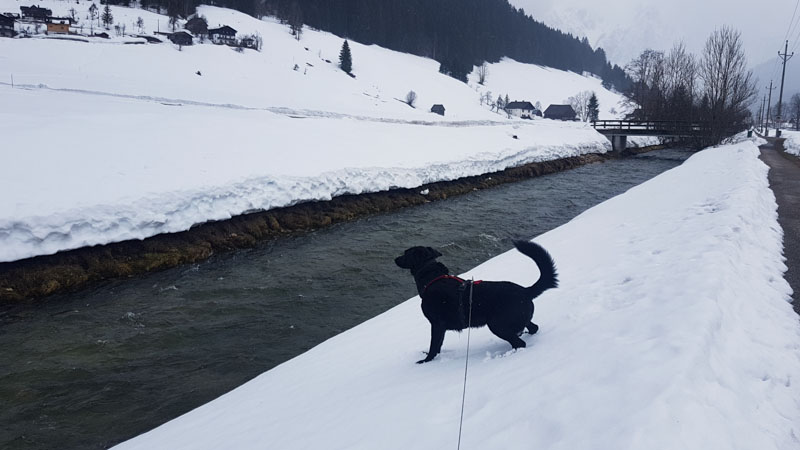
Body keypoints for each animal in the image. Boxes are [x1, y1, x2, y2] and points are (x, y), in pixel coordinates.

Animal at [394, 241, 556, 364]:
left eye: (406, 253)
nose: (395, 258)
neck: (431, 277)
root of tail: (525, 290)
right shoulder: (440, 327)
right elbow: (438, 345)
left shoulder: (437, 324)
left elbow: (434, 346)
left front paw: (426, 361)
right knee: (533, 328)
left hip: (497, 325)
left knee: (520, 343)